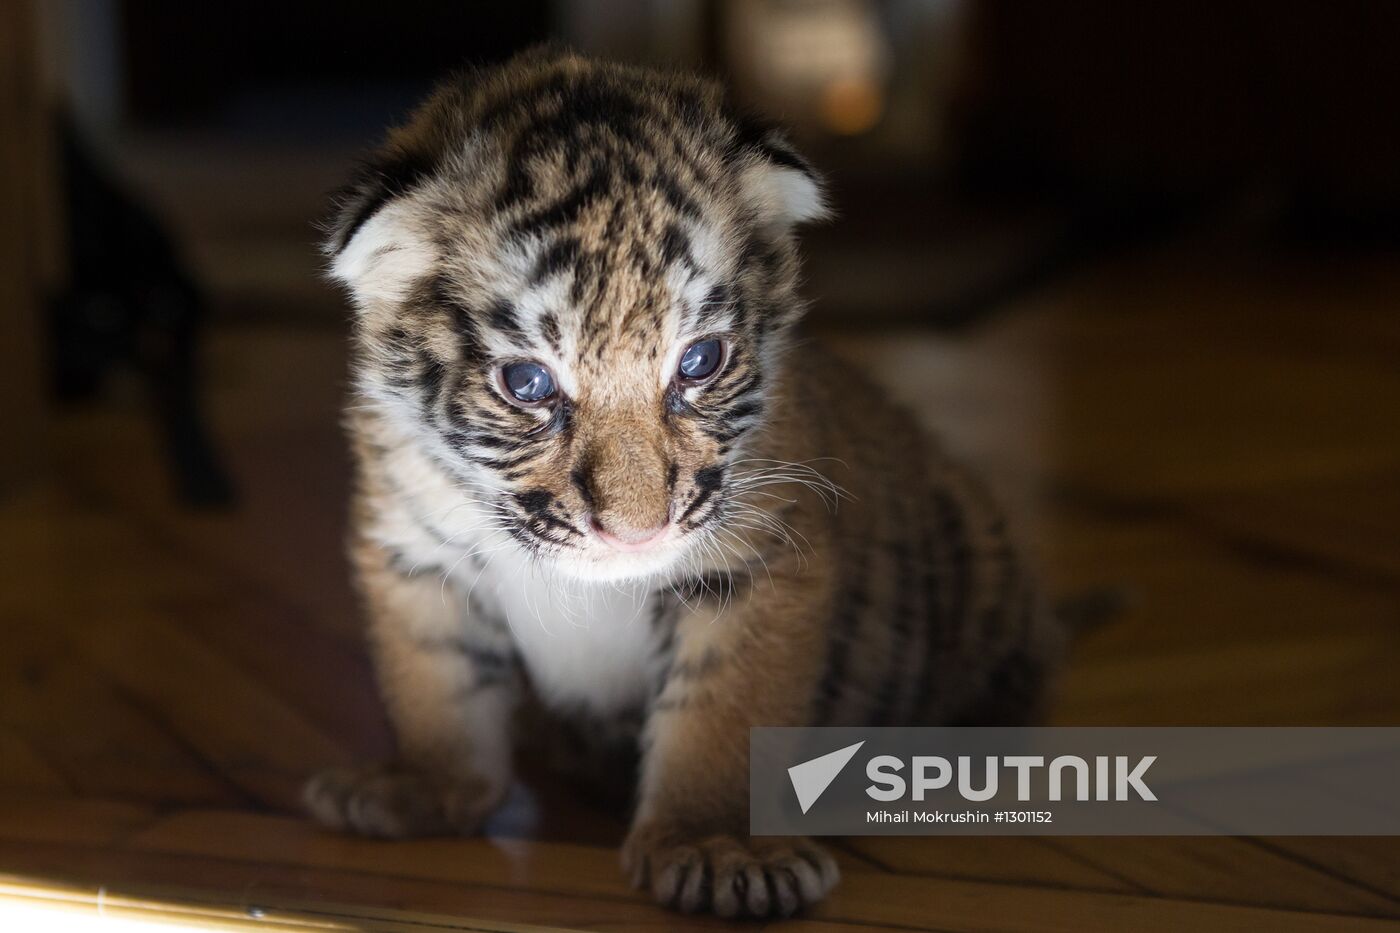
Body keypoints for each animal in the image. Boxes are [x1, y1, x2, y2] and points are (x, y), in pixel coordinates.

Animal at [303, 47, 1064, 919]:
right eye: (528, 382)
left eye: (699, 361)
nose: (638, 532)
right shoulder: (415, 553)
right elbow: (436, 682)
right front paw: (419, 786)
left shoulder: (762, 566)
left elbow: (724, 713)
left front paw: (720, 849)